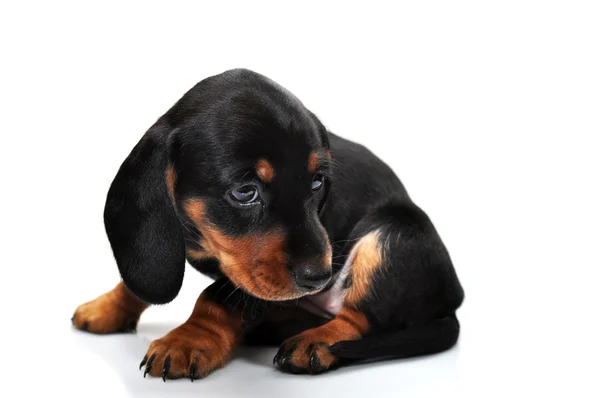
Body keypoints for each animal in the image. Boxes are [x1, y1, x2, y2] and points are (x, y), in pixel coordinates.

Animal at [71, 68, 464, 380]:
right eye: (245, 192)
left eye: (318, 182)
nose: (320, 277)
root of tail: (451, 300)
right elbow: (140, 277)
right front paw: (107, 308)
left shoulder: (250, 279)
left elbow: (215, 297)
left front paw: (185, 341)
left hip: (393, 234)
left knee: (360, 318)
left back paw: (315, 343)